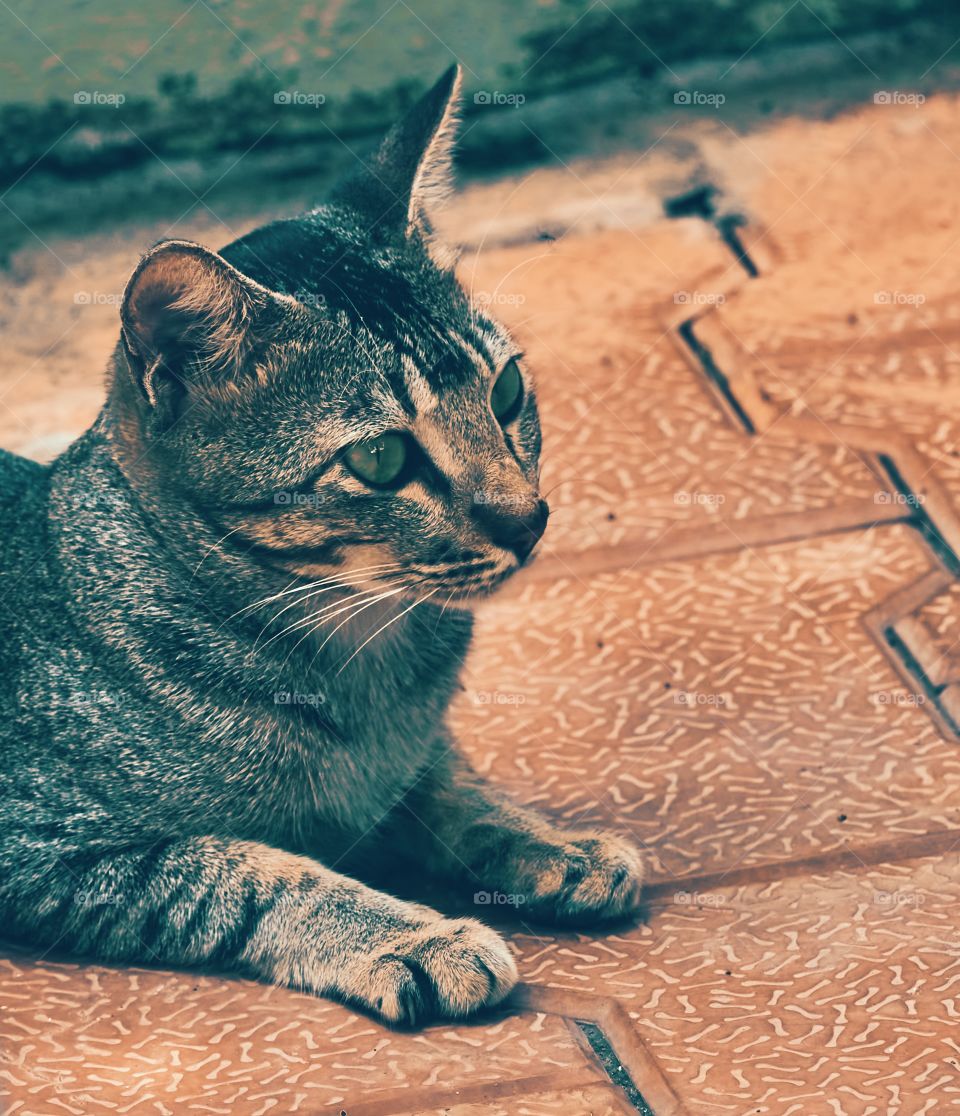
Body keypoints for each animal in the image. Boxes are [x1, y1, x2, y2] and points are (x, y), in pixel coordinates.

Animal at [1, 65, 642, 1026]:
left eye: (508, 392)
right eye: (381, 459)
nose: (526, 518)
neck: (364, 662)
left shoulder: (404, 761)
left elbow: (448, 786)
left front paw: (549, 844)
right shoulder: (48, 841)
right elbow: (240, 870)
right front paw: (411, 935)